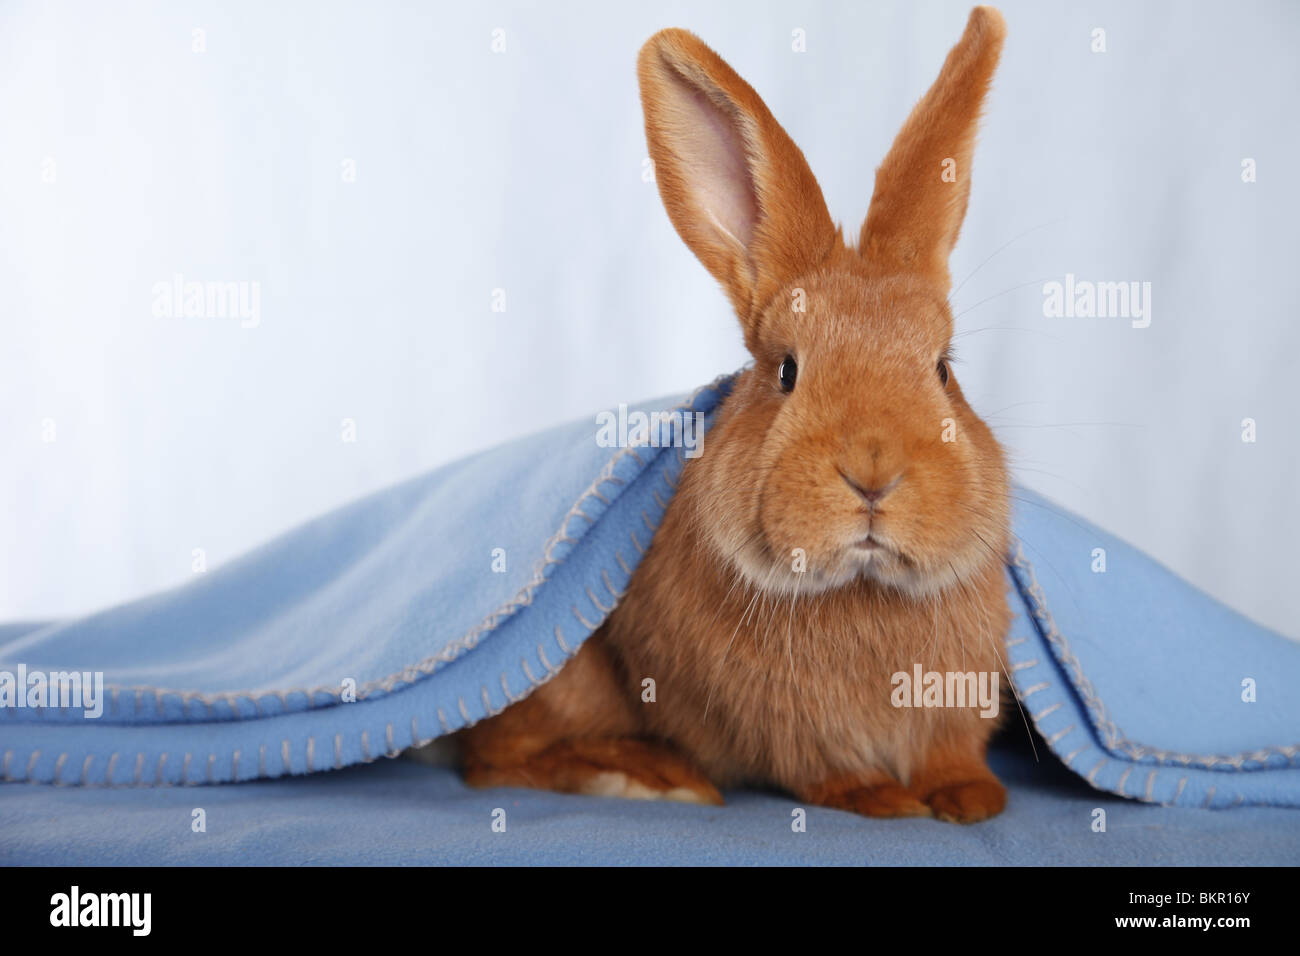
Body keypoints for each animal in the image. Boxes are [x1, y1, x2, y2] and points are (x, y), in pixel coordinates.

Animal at [457, 5, 1013, 822]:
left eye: (943, 369)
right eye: (785, 370)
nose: (873, 471)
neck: (860, 586)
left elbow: (950, 756)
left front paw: (972, 800)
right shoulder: (789, 734)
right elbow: (827, 771)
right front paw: (887, 801)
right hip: (565, 678)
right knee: (495, 759)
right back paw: (650, 779)